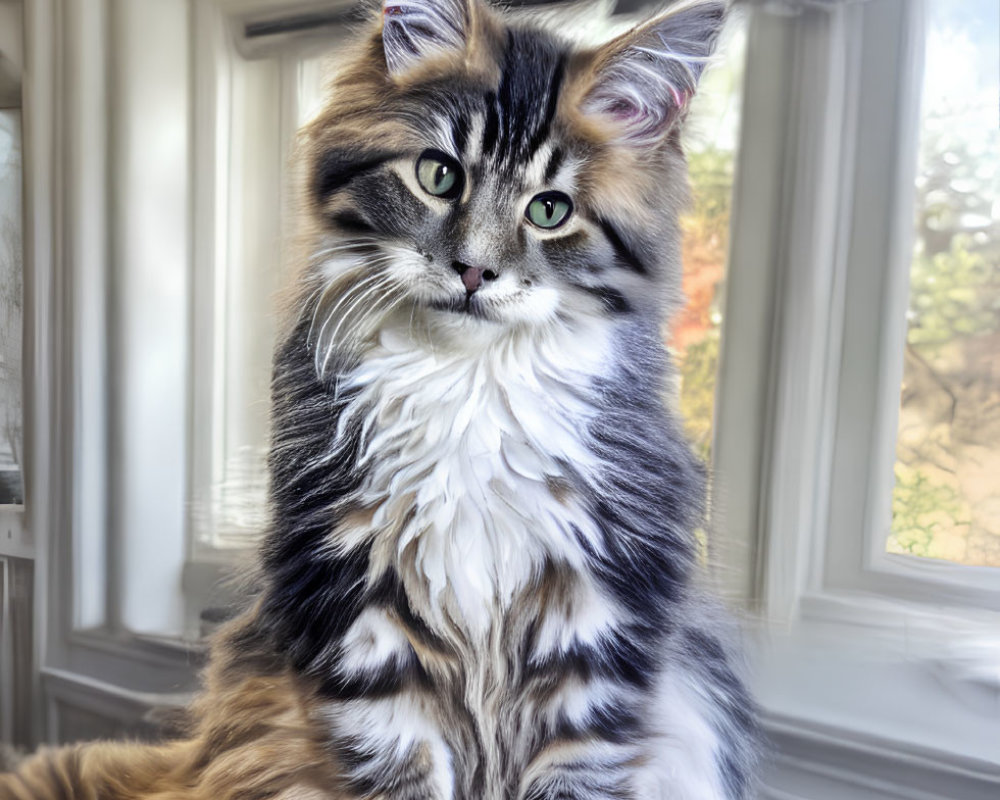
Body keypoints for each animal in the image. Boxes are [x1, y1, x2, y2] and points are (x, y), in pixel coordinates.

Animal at [3, 0, 760, 796]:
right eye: (438, 175)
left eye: (550, 211)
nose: (473, 270)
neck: (466, 384)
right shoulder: (356, 607)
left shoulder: (599, 626)